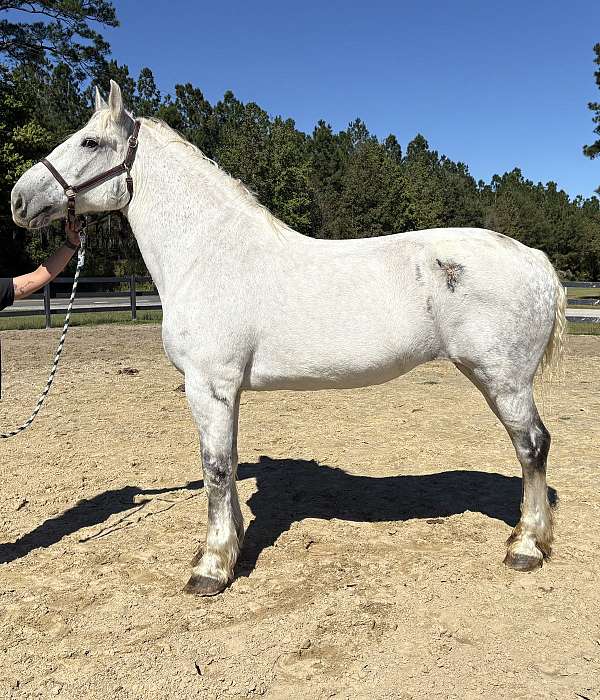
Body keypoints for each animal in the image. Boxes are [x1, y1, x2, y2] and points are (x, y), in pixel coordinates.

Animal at [10, 80, 566, 596]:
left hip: (503, 379)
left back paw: (526, 546)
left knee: (532, 446)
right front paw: (230, 545)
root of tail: (536, 259)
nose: (19, 199)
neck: (208, 253)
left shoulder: (208, 385)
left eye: (89, 141)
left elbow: (215, 467)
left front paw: (211, 567)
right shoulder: (225, 392)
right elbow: (228, 463)